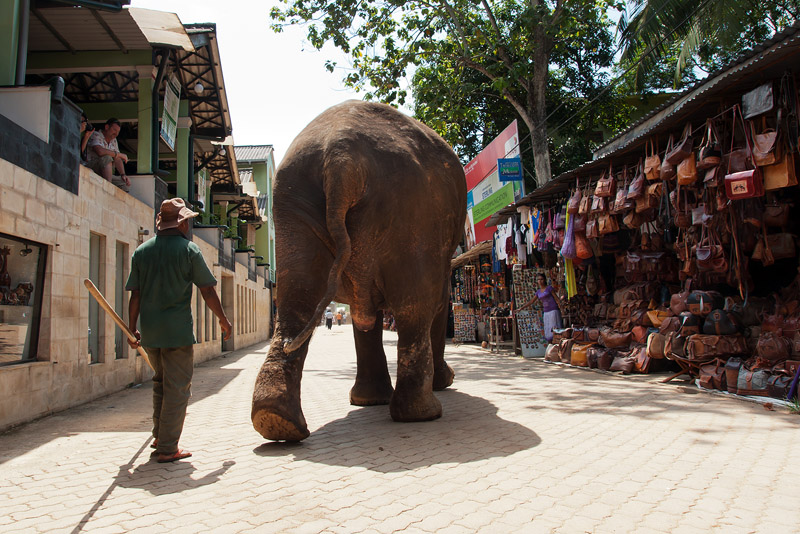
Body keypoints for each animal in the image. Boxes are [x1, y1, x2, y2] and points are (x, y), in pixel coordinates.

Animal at [252, 100, 468, 444]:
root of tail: (341, 158)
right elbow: (436, 299)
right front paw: (442, 383)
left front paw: (368, 401)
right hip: (412, 210)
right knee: (415, 305)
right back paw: (424, 413)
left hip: (293, 203)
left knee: (296, 298)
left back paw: (275, 421)